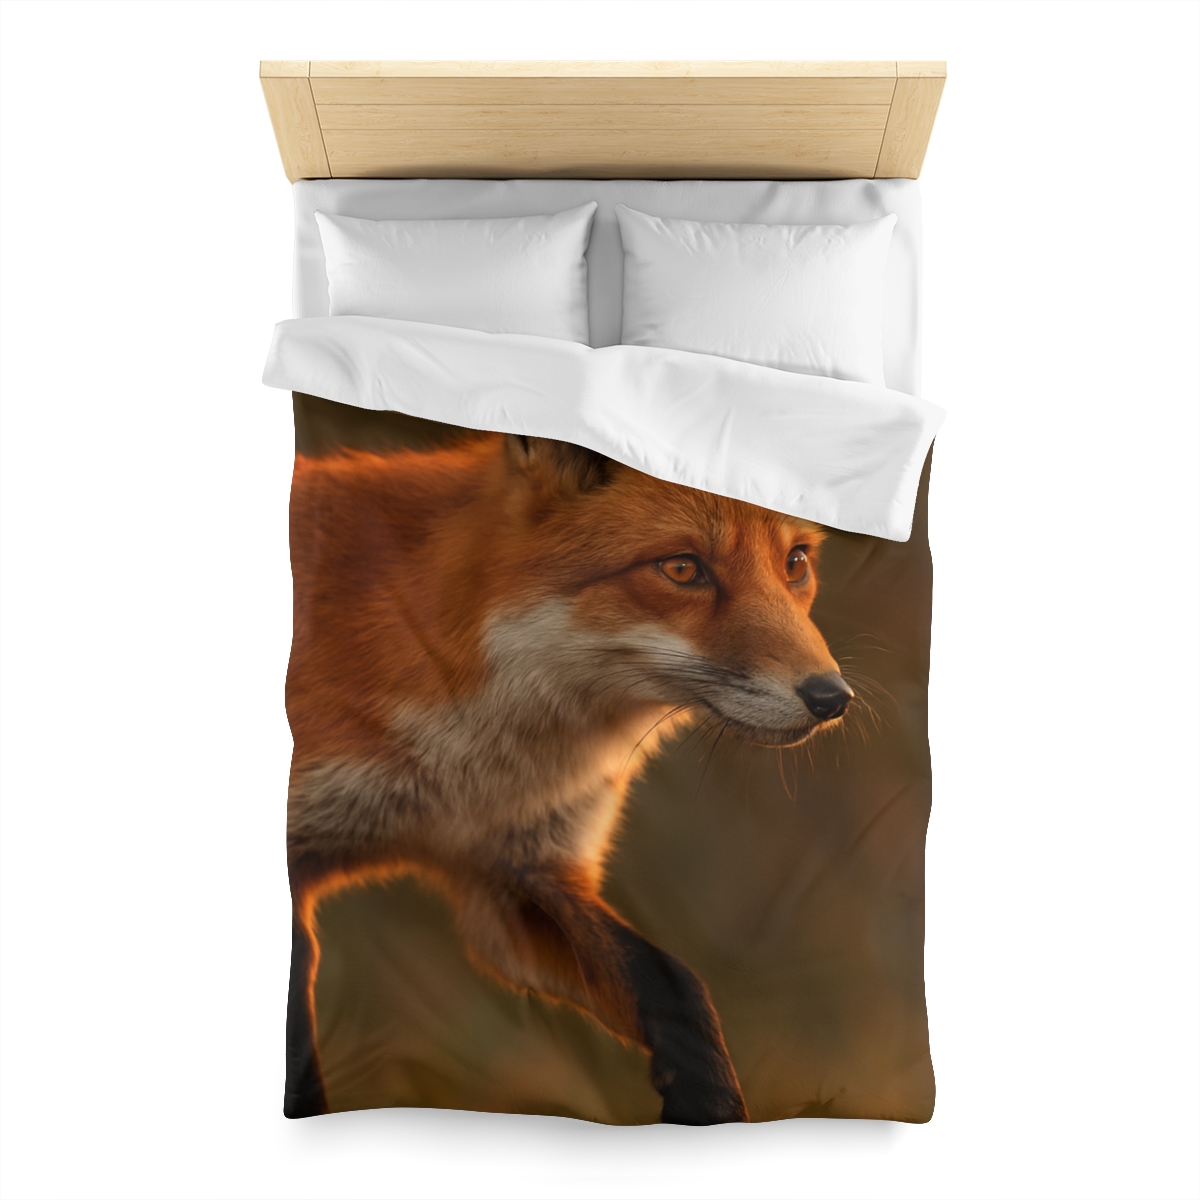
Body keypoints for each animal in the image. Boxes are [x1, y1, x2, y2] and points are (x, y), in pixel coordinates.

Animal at [284, 432, 854, 1125]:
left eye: (795, 563)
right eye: (682, 569)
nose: (832, 698)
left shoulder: (517, 876)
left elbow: (674, 985)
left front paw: (709, 1101)